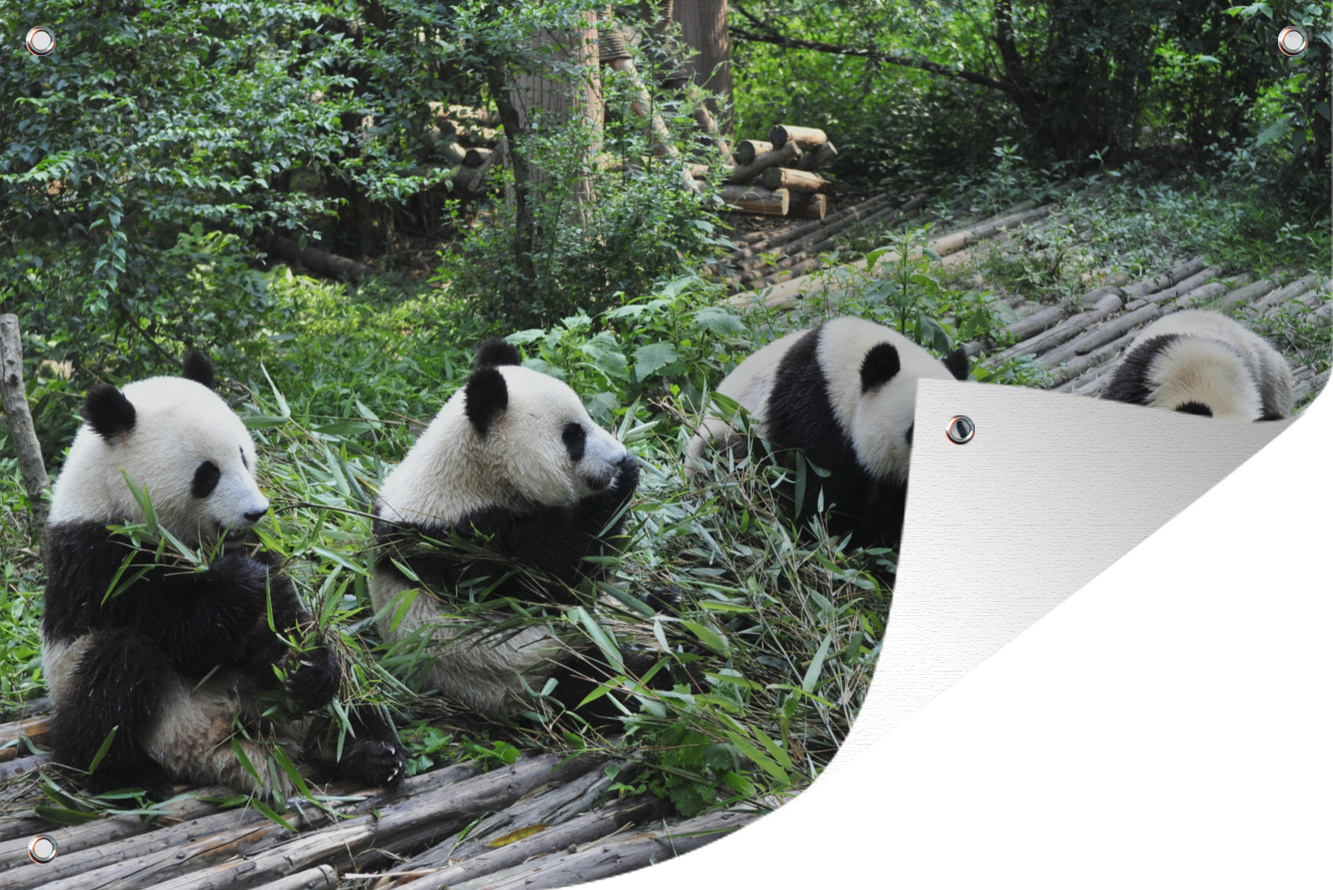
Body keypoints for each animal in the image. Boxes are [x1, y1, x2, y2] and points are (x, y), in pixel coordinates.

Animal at [42, 350, 404, 801]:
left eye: (244, 456)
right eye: (207, 474)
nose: (257, 512)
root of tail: (215, 747)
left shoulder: (257, 546)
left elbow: (286, 619)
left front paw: (307, 667)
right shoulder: (100, 559)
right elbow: (187, 636)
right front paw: (239, 580)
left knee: (354, 693)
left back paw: (371, 752)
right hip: (98, 690)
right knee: (112, 680)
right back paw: (127, 777)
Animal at [370, 338, 657, 723]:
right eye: (573, 435)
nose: (619, 456)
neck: (472, 474)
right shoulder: (468, 542)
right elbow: (557, 582)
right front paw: (621, 483)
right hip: (522, 671)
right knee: (601, 683)